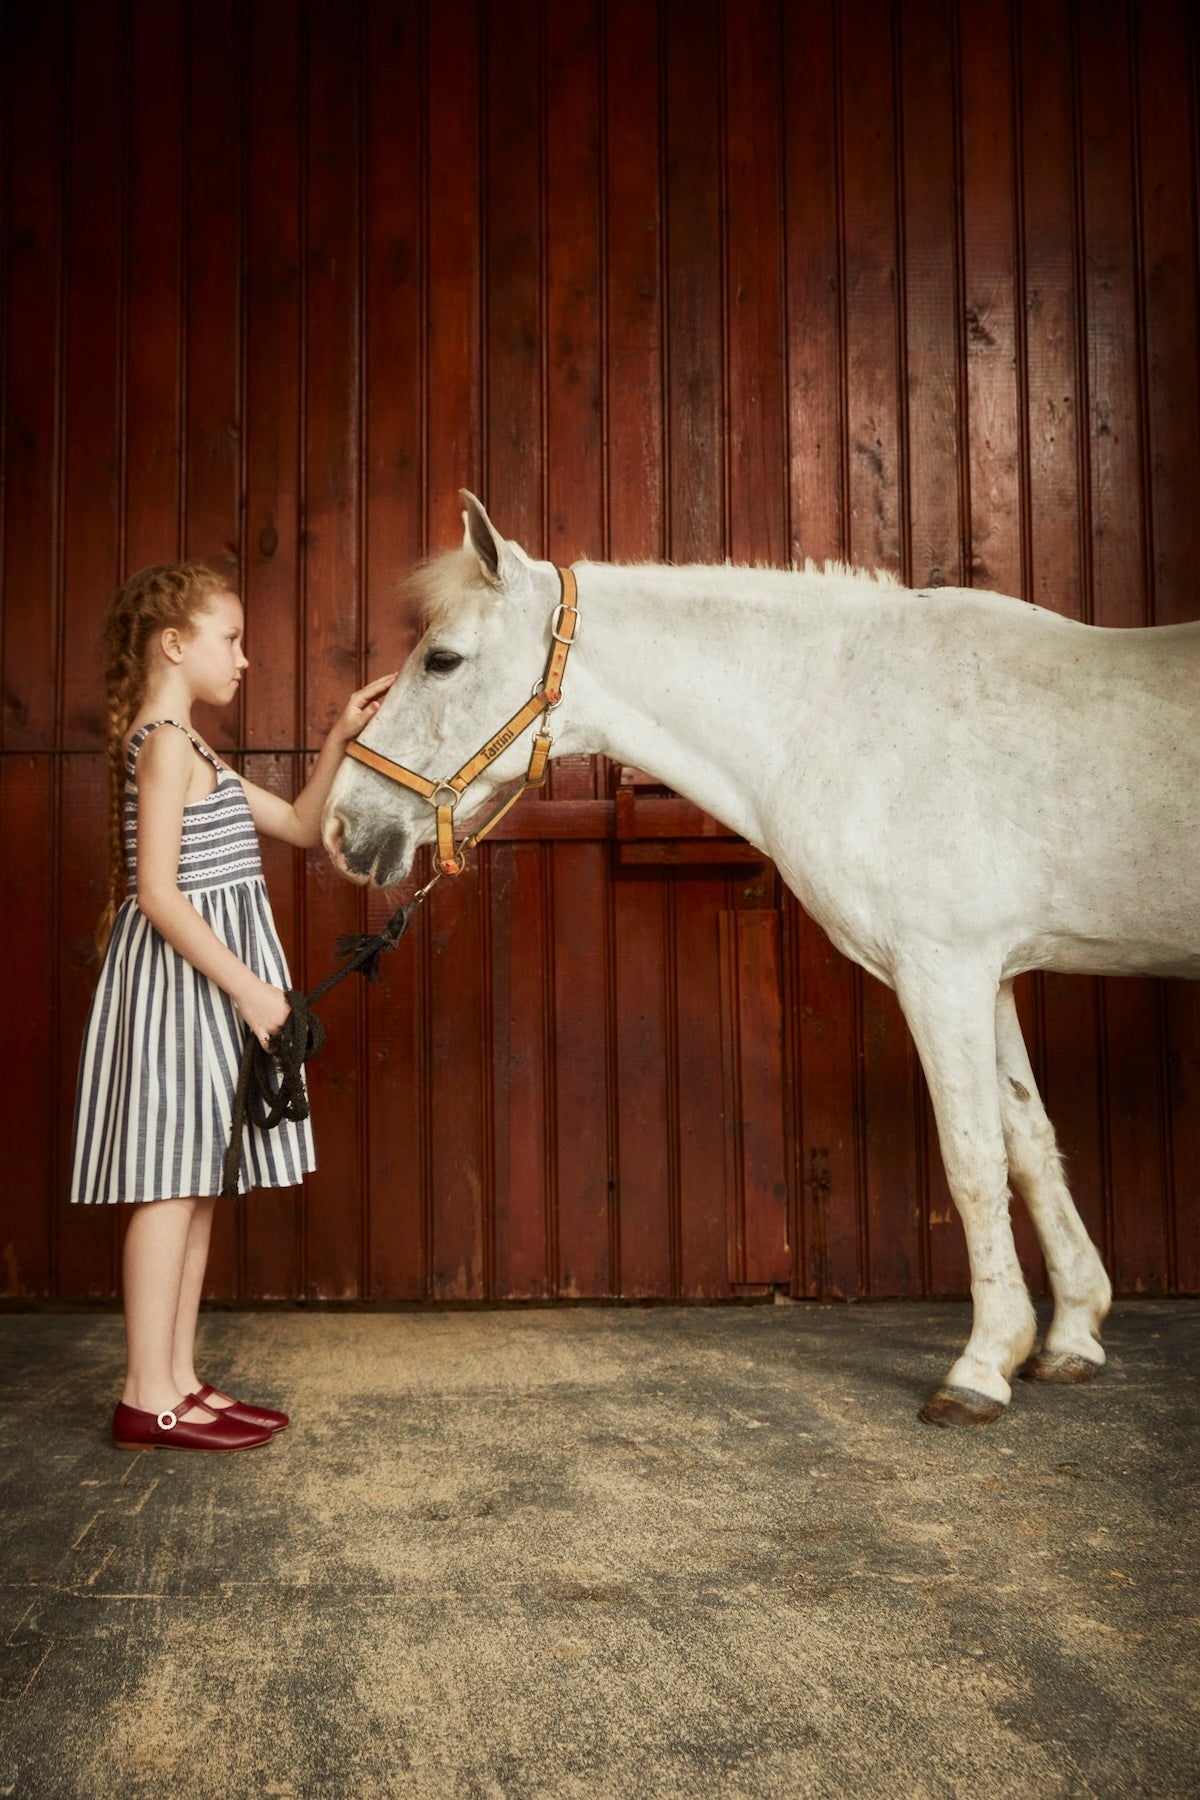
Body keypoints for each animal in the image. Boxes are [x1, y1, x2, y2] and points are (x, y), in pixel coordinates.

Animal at [325, 493, 1200, 1418]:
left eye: (443, 661)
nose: (343, 827)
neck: (850, 715)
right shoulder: (988, 976)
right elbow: (1029, 1144)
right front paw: (1071, 1334)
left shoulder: (944, 972)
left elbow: (973, 1160)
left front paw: (982, 1364)